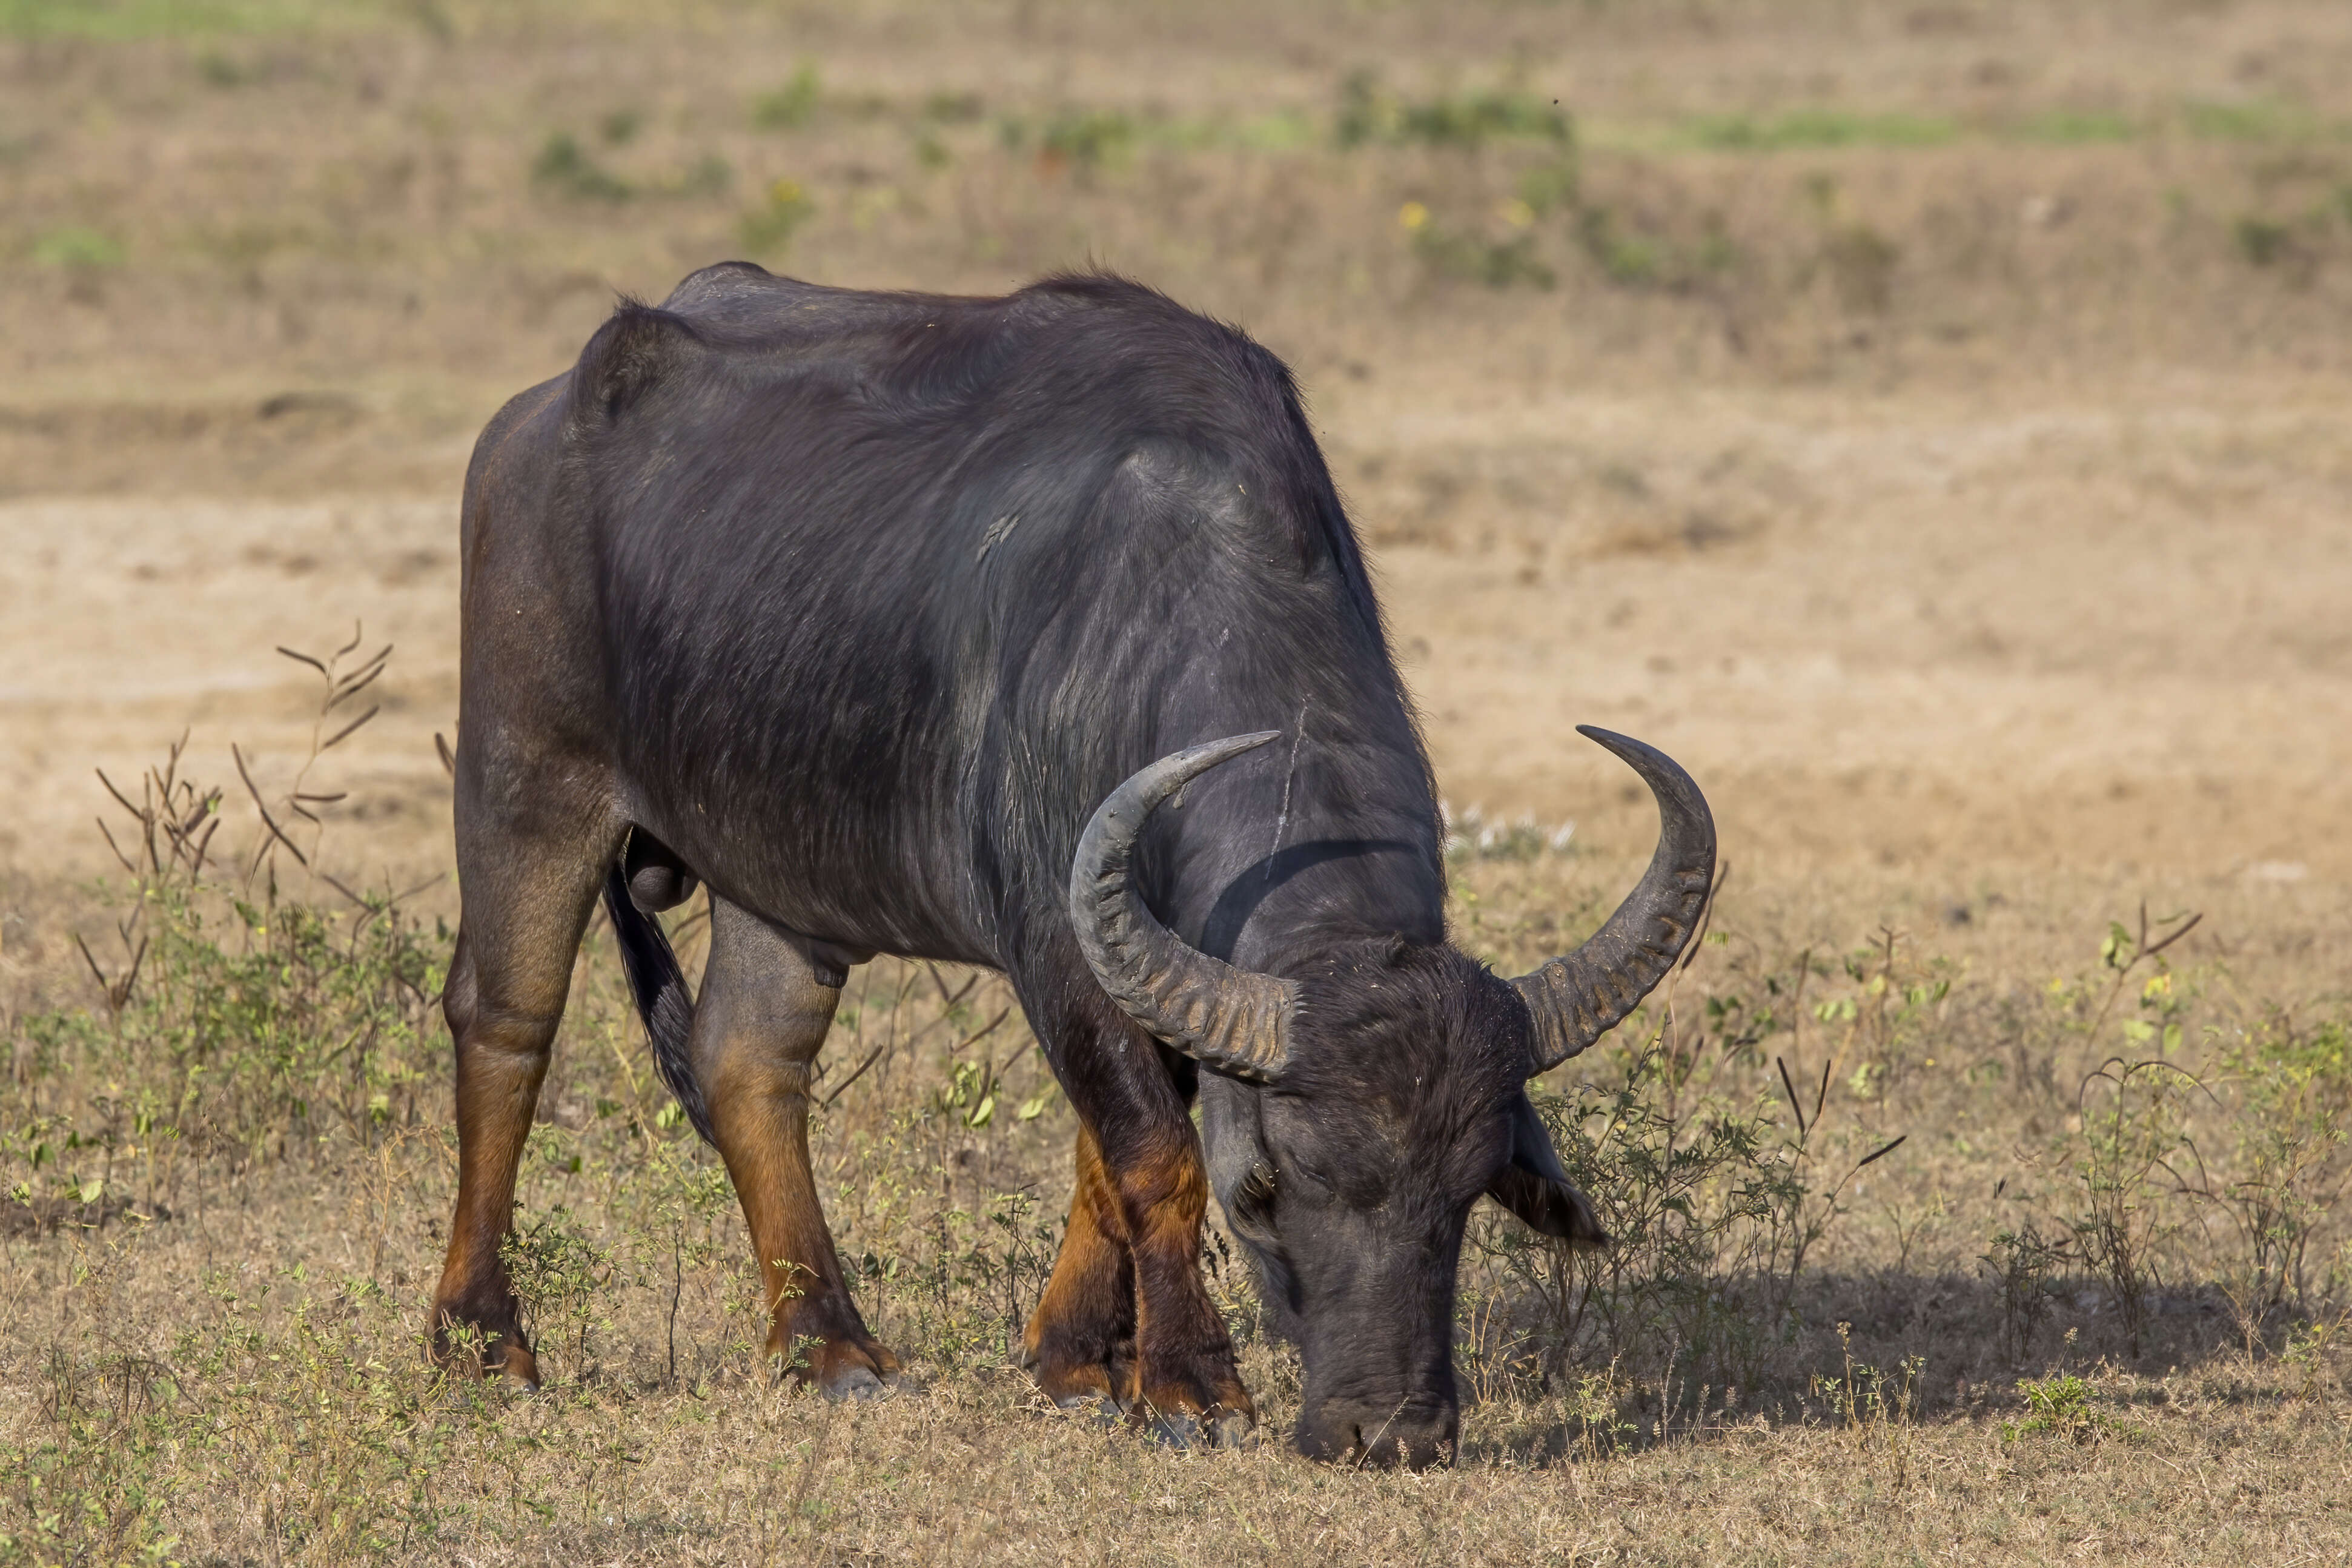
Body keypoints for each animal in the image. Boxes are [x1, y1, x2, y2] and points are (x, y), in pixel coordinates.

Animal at [432, 260, 1712, 1476]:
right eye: (1270, 1188)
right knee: (506, 1023)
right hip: (523, 778)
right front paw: (1190, 1384)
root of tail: (535, 419)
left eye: (1465, 1194)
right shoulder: (1058, 943)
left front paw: (1080, 1359)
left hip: (777, 874)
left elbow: (1104, 1153)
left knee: (748, 1059)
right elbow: (1152, 1151)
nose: (1387, 1429)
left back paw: (827, 1343)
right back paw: (483, 1339)